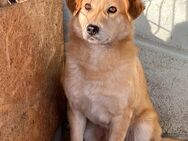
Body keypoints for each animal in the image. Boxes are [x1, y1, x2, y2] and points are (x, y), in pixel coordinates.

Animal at [62, 0, 183, 140]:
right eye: (87, 6)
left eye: (112, 9)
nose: (92, 28)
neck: (97, 61)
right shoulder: (75, 110)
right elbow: (76, 136)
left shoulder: (121, 117)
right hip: (90, 131)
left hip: (144, 125)